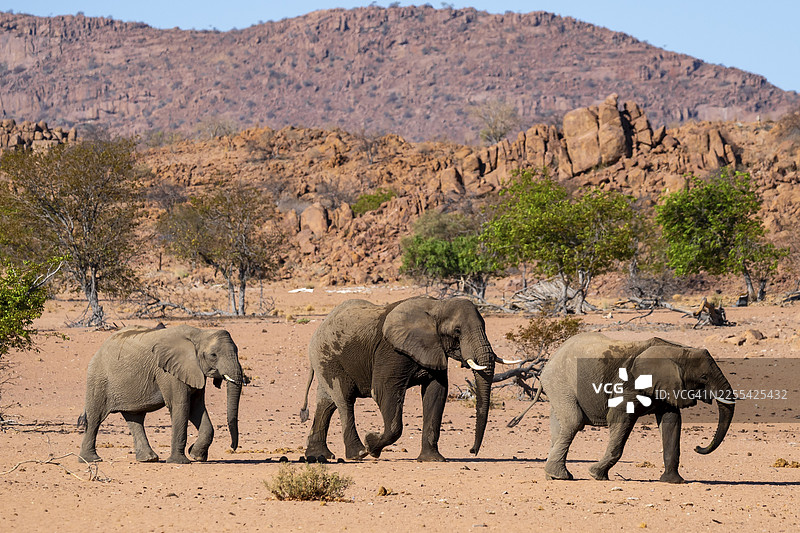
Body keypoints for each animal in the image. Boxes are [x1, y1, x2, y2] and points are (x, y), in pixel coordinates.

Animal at [78, 324, 245, 464]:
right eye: (213, 355)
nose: (232, 447)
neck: (199, 333)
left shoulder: (193, 370)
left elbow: (196, 407)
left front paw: (196, 455)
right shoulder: (168, 372)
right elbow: (181, 405)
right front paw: (180, 462)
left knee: (135, 417)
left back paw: (148, 459)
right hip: (98, 378)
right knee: (95, 418)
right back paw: (91, 460)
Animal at [299, 296, 519, 462]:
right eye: (457, 331)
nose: (472, 451)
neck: (437, 306)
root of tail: (320, 327)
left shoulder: (434, 350)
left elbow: (436, 393)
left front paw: (433, 459)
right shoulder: (391, 351)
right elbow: (383, 392)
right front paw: (371, 444)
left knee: (327, 403)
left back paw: (319, 456)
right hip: (329, 356)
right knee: (344, 400)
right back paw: (358, 453)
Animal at [540, 332, 735, 483]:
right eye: (704, 377)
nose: (698, 447)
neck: (676, 350)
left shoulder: (666, 387)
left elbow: (671, 422)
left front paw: (673, 481)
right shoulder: (629, 385)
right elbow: (619, 418)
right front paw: (596, 475)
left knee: (559, 427)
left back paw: (552, 476)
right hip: (560, 382)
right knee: (574, 422)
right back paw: (561, 476)